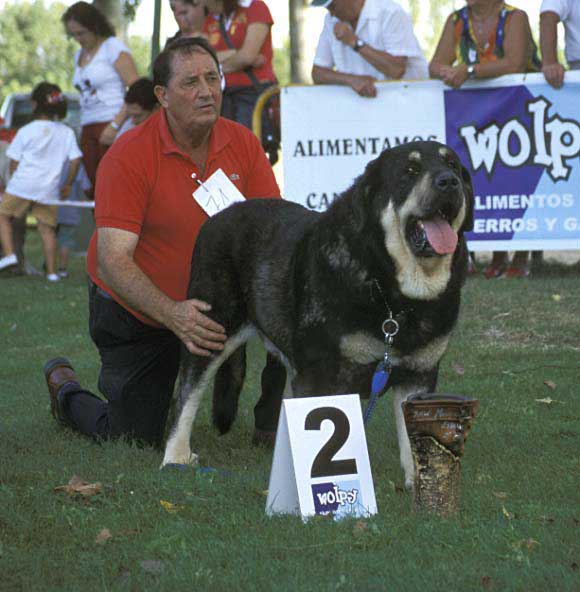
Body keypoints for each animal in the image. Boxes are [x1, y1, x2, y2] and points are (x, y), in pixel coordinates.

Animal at [161, 141, 474, 488]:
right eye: (410, 170)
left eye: (453, 166)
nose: (449, 182)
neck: (394, 295)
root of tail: (217, 216)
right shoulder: (320, 370)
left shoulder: (418, 376)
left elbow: (412, 440)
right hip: (212, 327)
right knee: (186, 395)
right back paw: (175, 457)